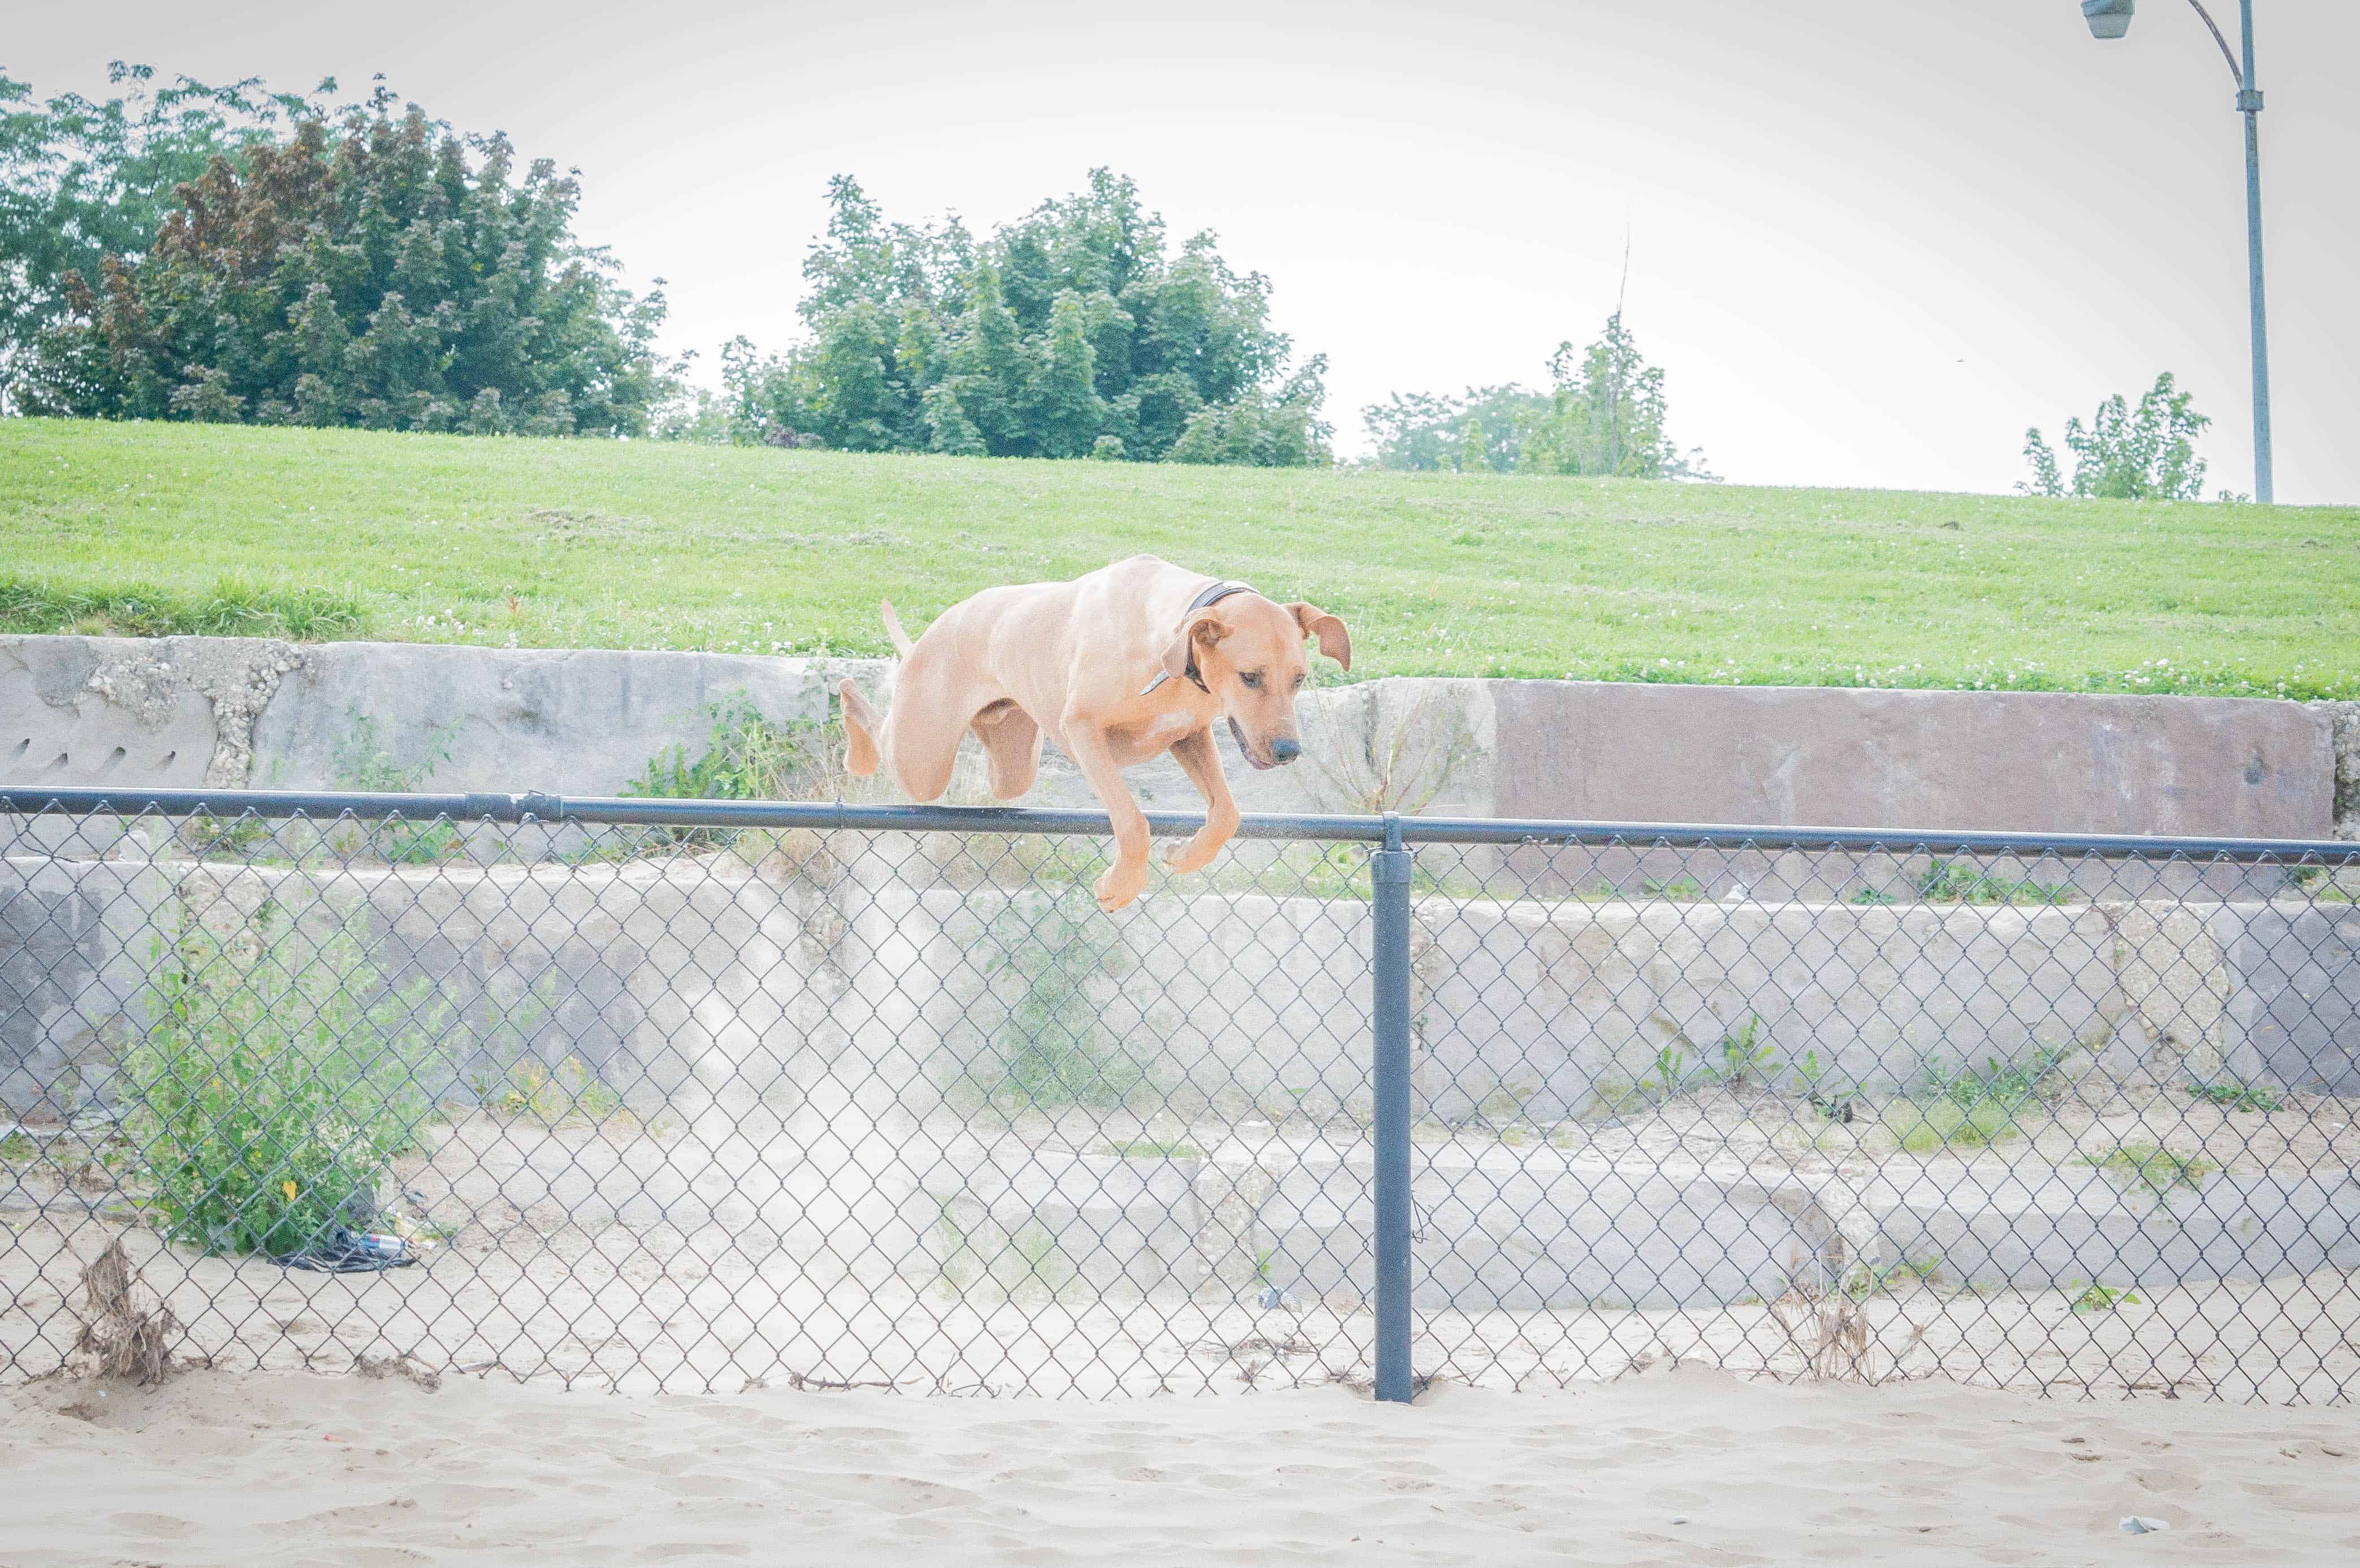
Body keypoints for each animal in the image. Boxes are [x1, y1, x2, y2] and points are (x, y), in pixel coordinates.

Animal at [835, 557, 1350, 912]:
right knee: (866, 711)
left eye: (1300, 679)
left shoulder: (1191, 735)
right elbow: (1132, 820)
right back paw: (857, 741)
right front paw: (1120, 887)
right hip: (921, 758)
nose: (1289, 751)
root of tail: (930, 634)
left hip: (1011, 761)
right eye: (1250, 677)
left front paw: (1186, 855)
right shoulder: (1083, 730)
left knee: (1000, 773)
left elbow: (1227, 813)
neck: (1166, 640)